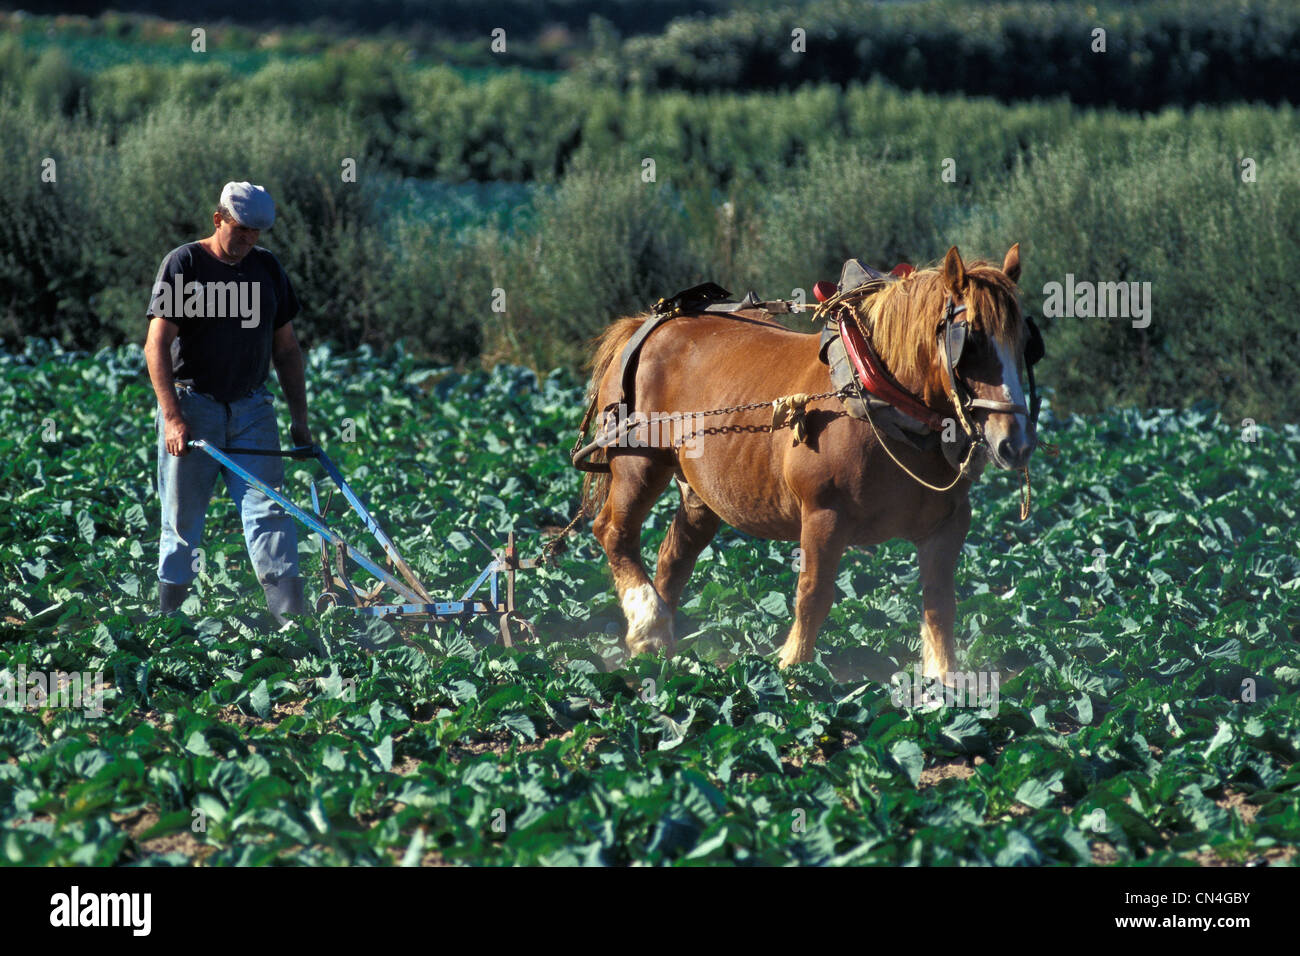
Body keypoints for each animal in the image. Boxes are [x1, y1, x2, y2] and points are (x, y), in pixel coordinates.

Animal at [579, 247, 1034, 681]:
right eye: (971, 342)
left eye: (1026, 344)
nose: (1015, 442)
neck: (877, 396)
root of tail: (650, 323)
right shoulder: (822, 514)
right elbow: (813, 595)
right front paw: (792, 670)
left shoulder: (949, 523)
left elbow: (940, 603)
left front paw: (943, 683)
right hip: (639, 462)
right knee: (614, 532)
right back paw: (649, 624)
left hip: (701, 492)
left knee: (675, 555)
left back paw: (659, 647)